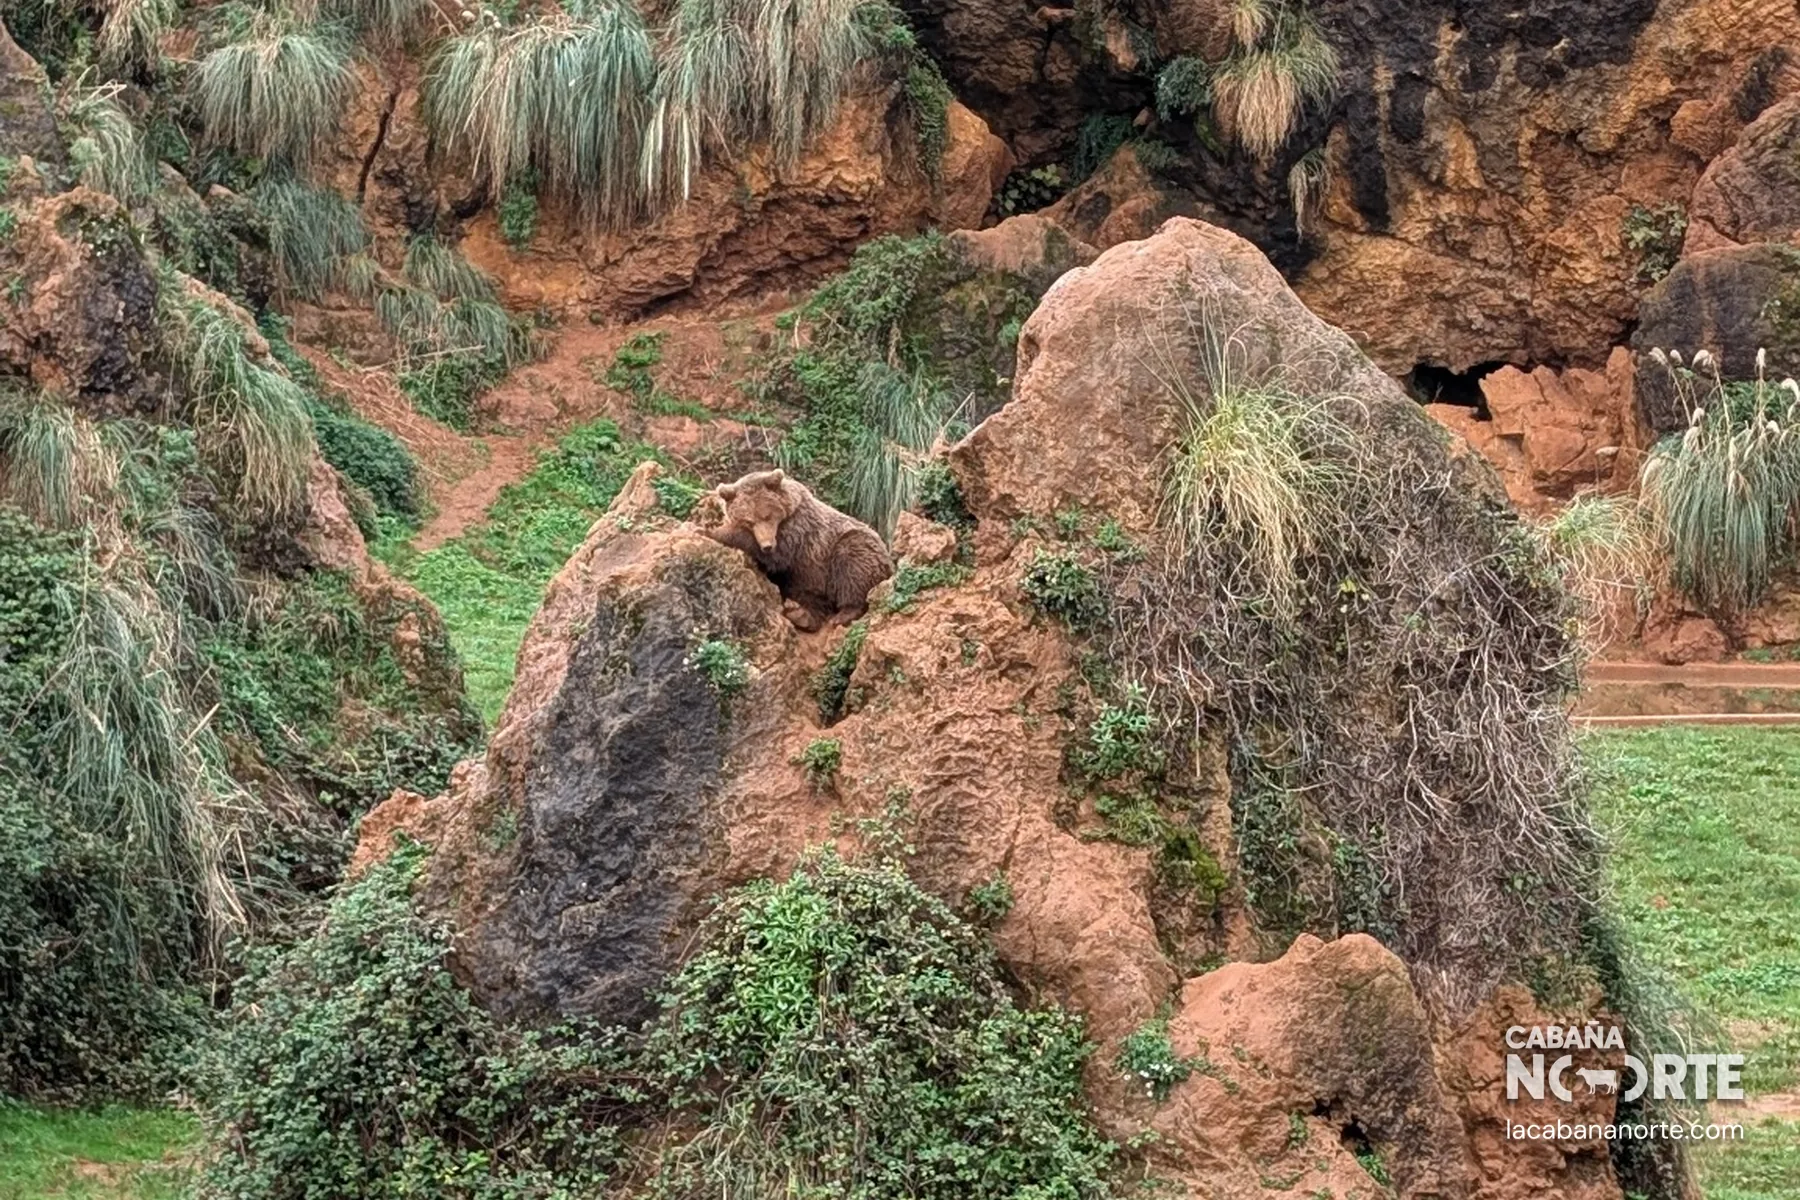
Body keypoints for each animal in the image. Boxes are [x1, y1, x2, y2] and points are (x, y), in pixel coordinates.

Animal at [696, 469, 894, 631]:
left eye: (766, 515)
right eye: (749, 521)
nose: (767, 545)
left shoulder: (797, 529)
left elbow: (778, 555)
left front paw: (708, 530)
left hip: (847, 549)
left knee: (853, 567)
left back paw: (843, 614)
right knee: (810, 597)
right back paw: (799, 614)